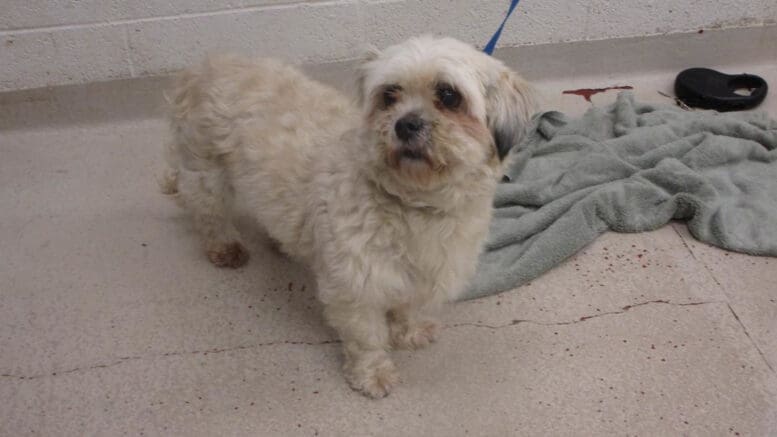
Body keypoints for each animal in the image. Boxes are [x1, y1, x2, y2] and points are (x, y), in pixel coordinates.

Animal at [161, 35, 536, 396]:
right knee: (206, 210)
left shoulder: (421, 276)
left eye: (448, 95)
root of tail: (205, 65)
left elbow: (408, 307)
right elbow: (367, 337)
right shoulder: (355, 285)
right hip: (206, 173)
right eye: (389, 95)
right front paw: (373, 374)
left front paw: (409, 331)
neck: (412, 204)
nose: (405, 124)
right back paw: (224, 245)